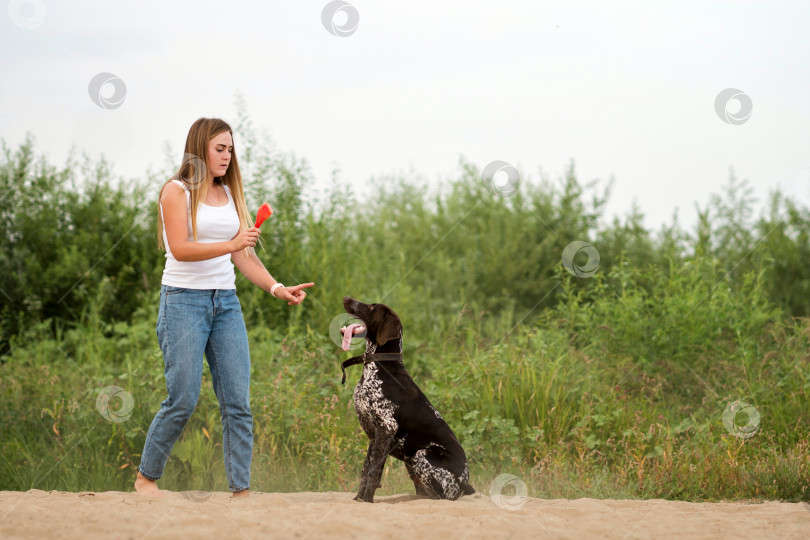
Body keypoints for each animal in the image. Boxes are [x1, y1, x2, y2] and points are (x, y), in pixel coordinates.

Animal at [336, 296, 474, 502]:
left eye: (371, 307)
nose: (346, 298)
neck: (379, 365)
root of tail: (464, 483)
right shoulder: (374, 435)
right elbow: (366, 470)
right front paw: (359, 500)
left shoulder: (386, 428)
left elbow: (373, 473)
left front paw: (367, 500)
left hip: (422, 454)